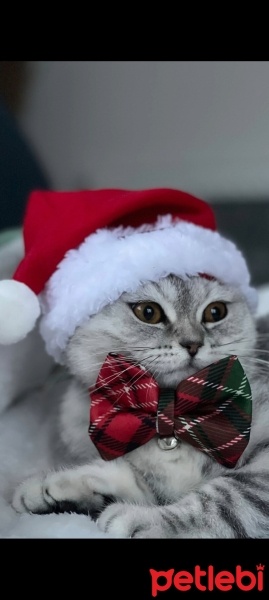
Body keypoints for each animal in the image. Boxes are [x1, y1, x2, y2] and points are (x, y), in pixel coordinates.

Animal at [11, 274, 268, 536]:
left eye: (216, 312)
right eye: (148, 312)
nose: (193, 344)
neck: (171, 413)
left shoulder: (259, 473)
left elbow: (225, 498)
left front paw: (144, 520)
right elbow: (128, 476)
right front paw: (54, 488)